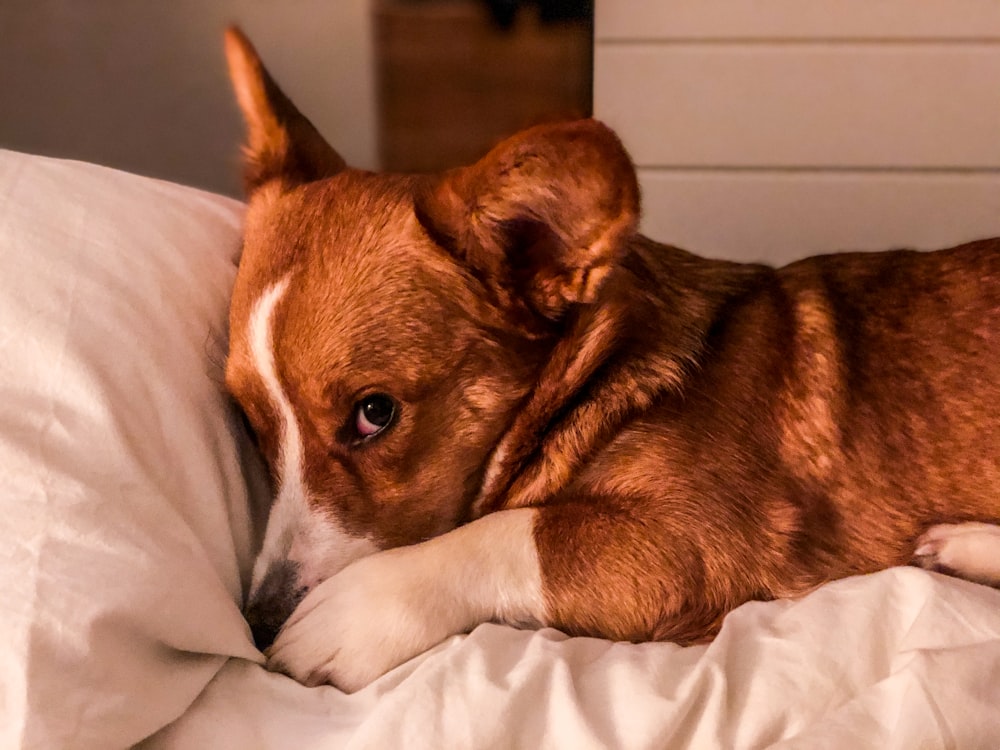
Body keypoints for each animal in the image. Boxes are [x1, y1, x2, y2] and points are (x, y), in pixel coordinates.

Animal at [223, 26, 1000, 696]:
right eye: (250, 423)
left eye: (374, 413)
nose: (257, 624)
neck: (602, 375)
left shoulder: (703, 544)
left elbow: (519, 530)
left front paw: (350, 613)